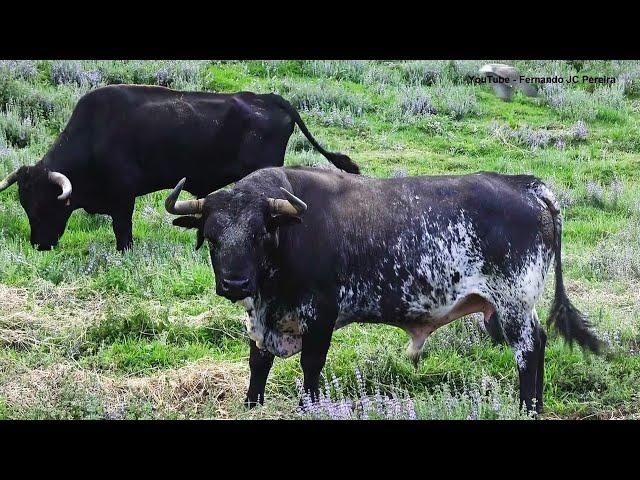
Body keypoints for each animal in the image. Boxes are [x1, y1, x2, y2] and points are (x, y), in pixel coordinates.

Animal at [0, 85, 360, 253]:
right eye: (26, 204)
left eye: (47, 204)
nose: (39, 245)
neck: (93, 135)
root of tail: (269, 97)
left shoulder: (123, 197)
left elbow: (122, 230)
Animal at [164, 166, 600, 412]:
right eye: (212, 236)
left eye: (259, 234)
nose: (234, 283)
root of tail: (526, 186)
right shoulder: (260, 317)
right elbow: (259, 363)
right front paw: (252, 404)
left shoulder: (322, 315)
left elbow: (311, 366)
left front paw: (310, 406)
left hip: (513, 304)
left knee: (529, 349)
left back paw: (528, 407)